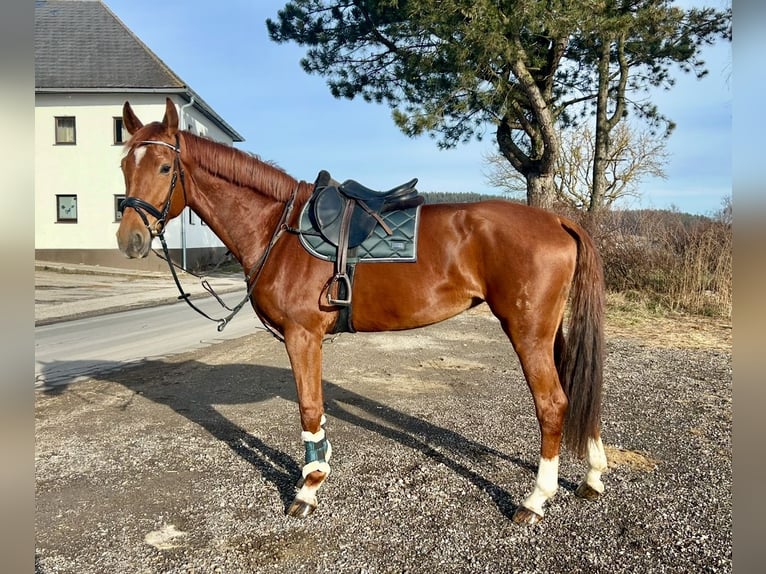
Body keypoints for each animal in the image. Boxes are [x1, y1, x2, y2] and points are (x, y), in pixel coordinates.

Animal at [117, 99, 608, 528]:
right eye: (124, 166)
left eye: (165, 168)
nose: (130, 239)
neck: (279, 228)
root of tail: (557, 221)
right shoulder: (308, 339)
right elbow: (316, 411)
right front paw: (318, 468)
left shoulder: (302, 335)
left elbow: (309, 408)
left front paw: (308, 488)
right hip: (550, 332)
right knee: (578, 390)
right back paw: (593, 477)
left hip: (526, 330)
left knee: (553, 403)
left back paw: (535, 500)